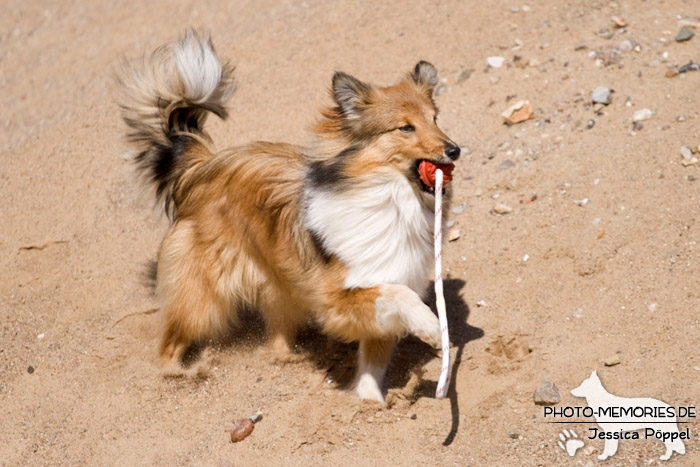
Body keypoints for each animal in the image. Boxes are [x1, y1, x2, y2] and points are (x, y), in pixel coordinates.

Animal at [117, 32, 462, 402]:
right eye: (405, 128)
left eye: (435, 118)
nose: (455, 150)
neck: (393, 200)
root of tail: (202, 165)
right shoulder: (337, 297)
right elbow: (396, 295)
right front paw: (430, 326)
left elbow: (373, 360)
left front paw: (371, 404)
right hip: (203, 296)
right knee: (170, 342)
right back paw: (176, 375)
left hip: (281, 286)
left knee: (277, 335)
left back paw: (287, 359)